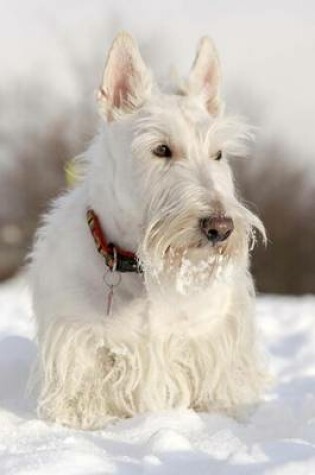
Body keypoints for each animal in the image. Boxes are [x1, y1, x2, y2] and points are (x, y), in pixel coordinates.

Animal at [29, 31, 270, 430]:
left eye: (218, 154)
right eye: (161, 149)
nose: (220, 227)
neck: (140, 268)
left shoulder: (207, 336)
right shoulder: (81, 338)